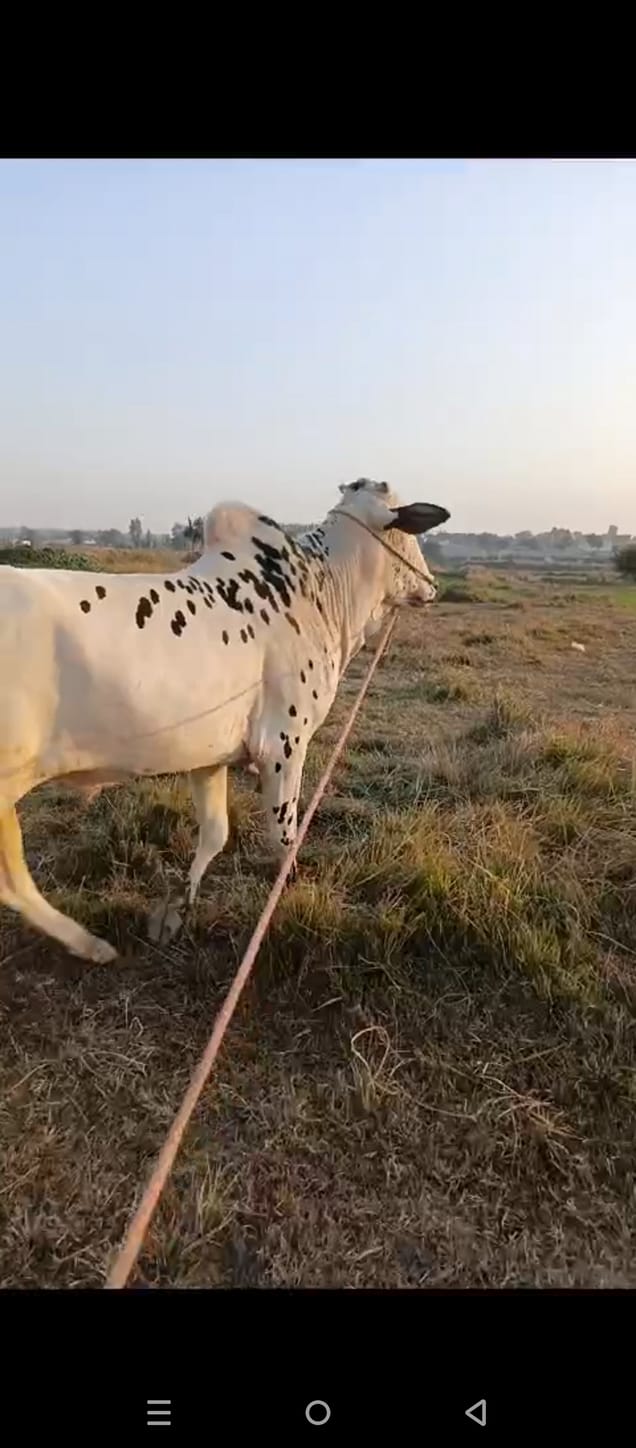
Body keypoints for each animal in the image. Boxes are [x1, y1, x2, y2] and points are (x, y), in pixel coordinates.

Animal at [0, 478, 449, 964]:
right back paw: (91, 946)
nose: (432, 585)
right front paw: (286, 890)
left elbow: (215, 834)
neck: (320, 591)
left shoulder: (208, 756)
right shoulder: (284, 745)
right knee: (13, 882)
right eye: (409, 528)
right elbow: (283, 835)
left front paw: (178, 907)